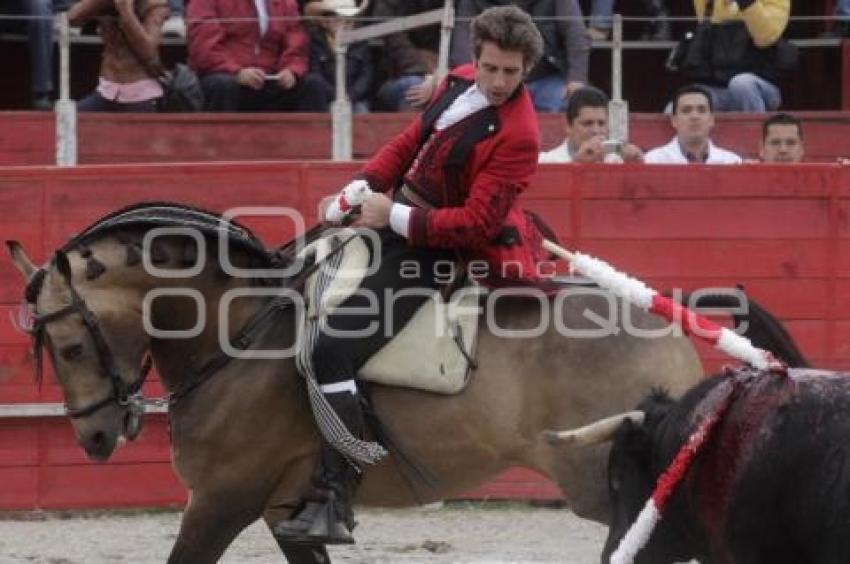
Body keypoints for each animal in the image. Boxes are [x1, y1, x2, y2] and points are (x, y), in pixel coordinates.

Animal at [9, 204, 704, 564]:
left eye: (71, 346)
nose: (95, 437)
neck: (241, 334)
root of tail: (669, 335)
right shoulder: (282, 511)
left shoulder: (221, 500)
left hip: (606, 482)